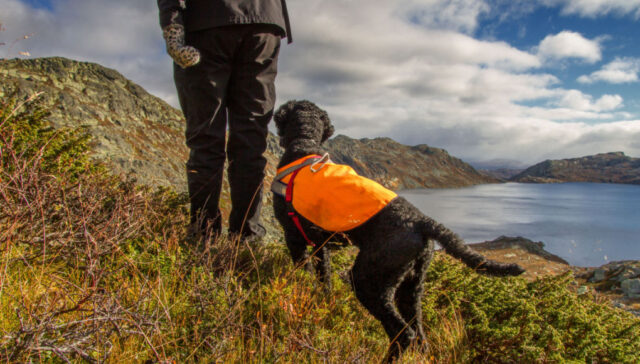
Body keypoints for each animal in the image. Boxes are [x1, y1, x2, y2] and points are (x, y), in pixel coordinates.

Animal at [272, 100, 524, 362]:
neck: (305, 143)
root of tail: (422, 221)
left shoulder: (294, 238)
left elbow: (304, 274)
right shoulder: (321, 245)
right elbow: (325, 279)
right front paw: (321, 300)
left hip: (368, 280)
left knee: (403, 333)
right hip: (411, 287)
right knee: (420, 335)